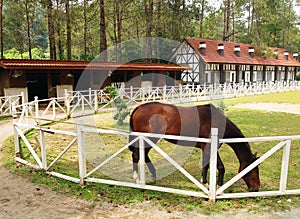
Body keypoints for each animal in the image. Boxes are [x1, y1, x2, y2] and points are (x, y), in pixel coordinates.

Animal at [129, 102, 260, 192]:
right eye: (254, 169)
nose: (256, 188)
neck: (216, 122)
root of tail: (139, 108)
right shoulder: (210, 148)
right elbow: (221, 167)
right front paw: (218, 186)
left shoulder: (205, 149)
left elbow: (205, 166)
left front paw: (204, 183)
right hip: (146, 138)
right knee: (136, 155)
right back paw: (137, 179)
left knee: (144, 155)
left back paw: (153, 176)